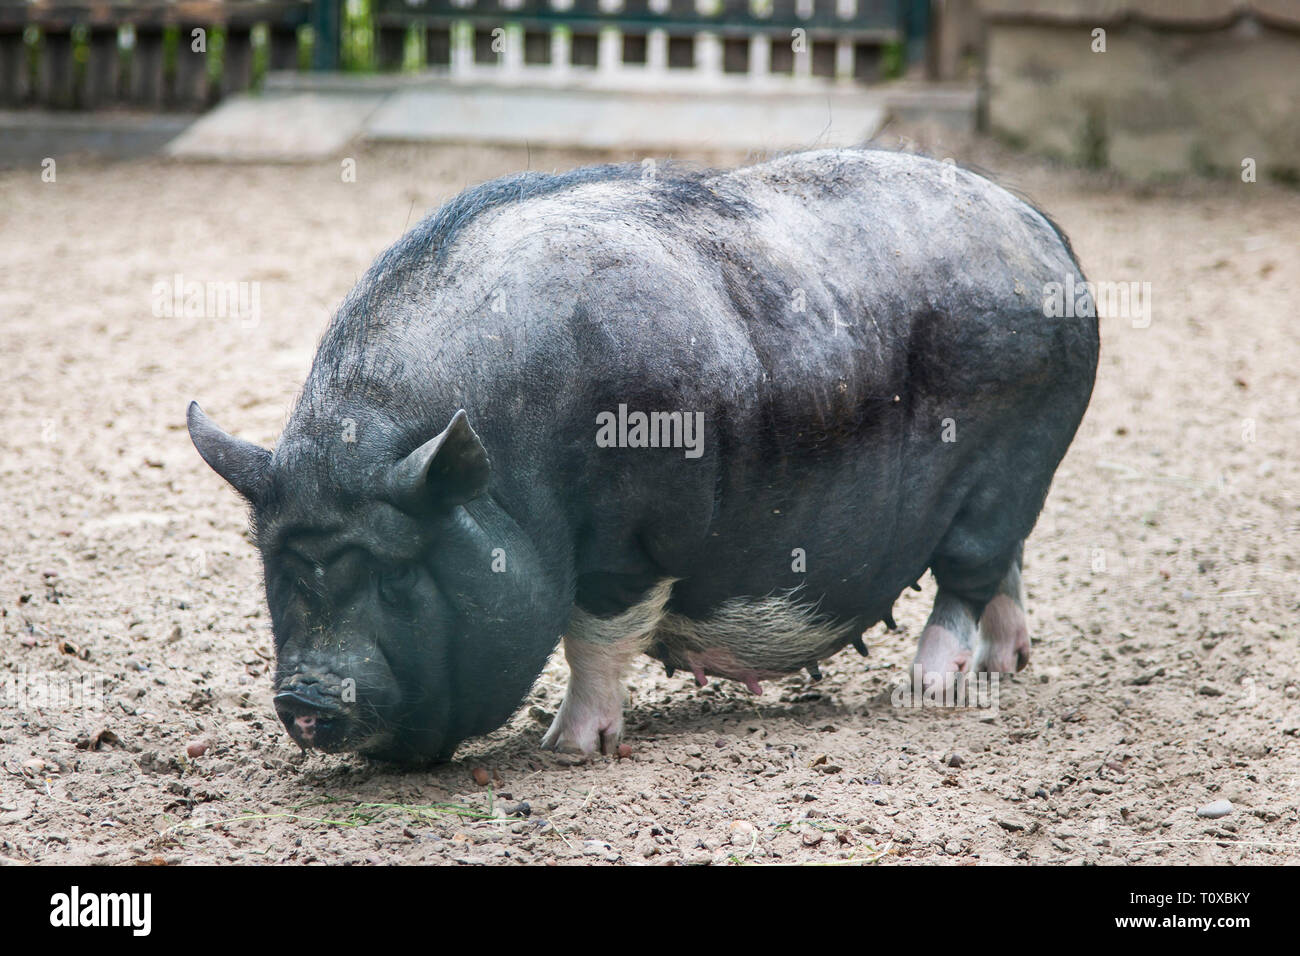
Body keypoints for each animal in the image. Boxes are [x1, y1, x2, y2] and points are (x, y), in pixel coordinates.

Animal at [188, 147, 1098, 762]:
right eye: (276, 569)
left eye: (398, 571)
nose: (305, 697)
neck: (512, 469)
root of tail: (1047, 235)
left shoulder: (634, 537)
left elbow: (593, 634)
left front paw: (566, 748)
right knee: (1005, 566)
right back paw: (1006, 665)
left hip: (1014, 459)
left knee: (967, 573)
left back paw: (929, 688)